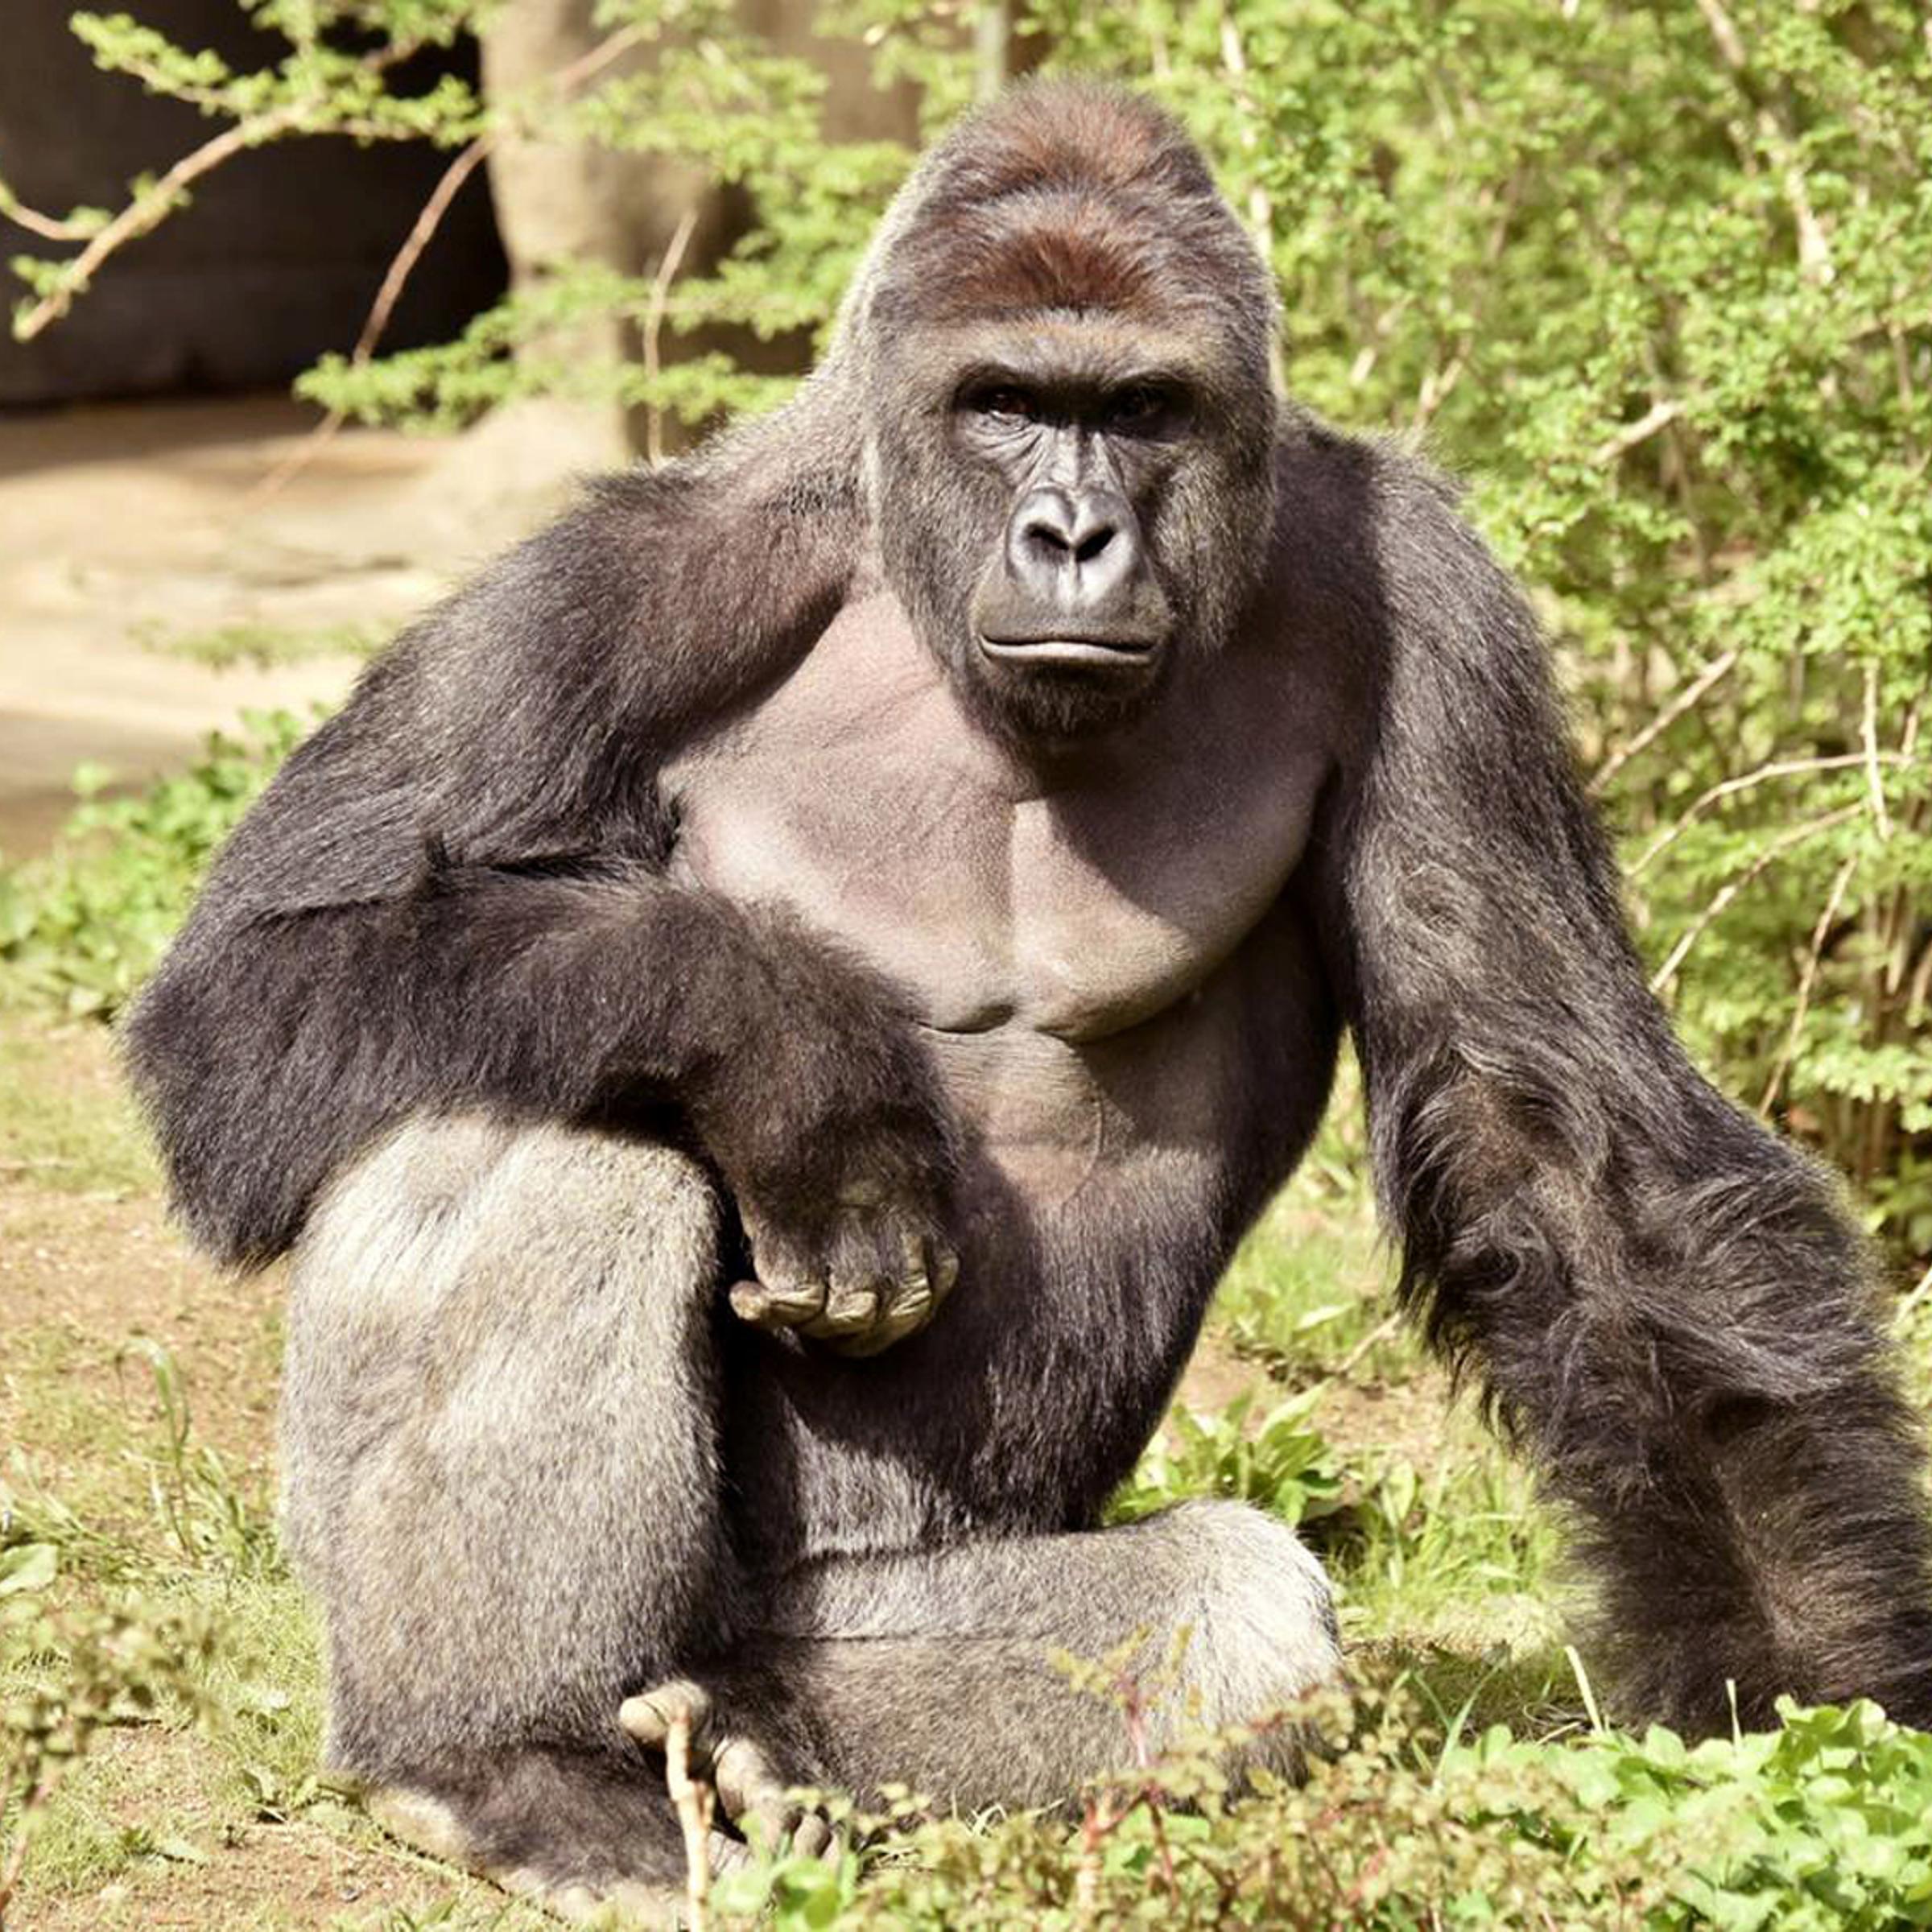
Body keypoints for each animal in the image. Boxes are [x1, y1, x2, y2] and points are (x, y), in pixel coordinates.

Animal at [125, 80, 1932, 1918]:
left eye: (1138, 409)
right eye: (1003, 405)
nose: (1073, 534)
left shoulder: (1434, 610)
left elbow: (1560, 1139)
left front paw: (1808, 1689)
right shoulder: (612, 587)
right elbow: (253, 980)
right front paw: (792, 1052)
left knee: (1225, 1616)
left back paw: (757, 1741)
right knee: (538, 1115)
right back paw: (504, 1758)